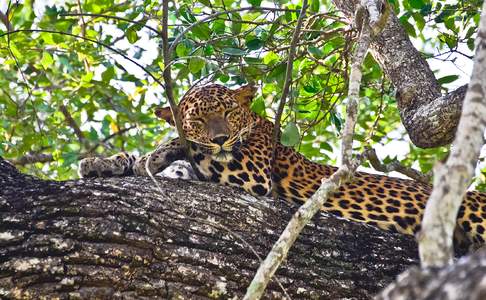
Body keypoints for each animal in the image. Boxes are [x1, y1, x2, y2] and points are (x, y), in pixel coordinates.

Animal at [78, 83, 486, 250]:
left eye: (228, 113)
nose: (221, 138)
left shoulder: (252, 174)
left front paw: (163, 149)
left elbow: (185, 149)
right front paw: (102, 163)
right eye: (198, 119)